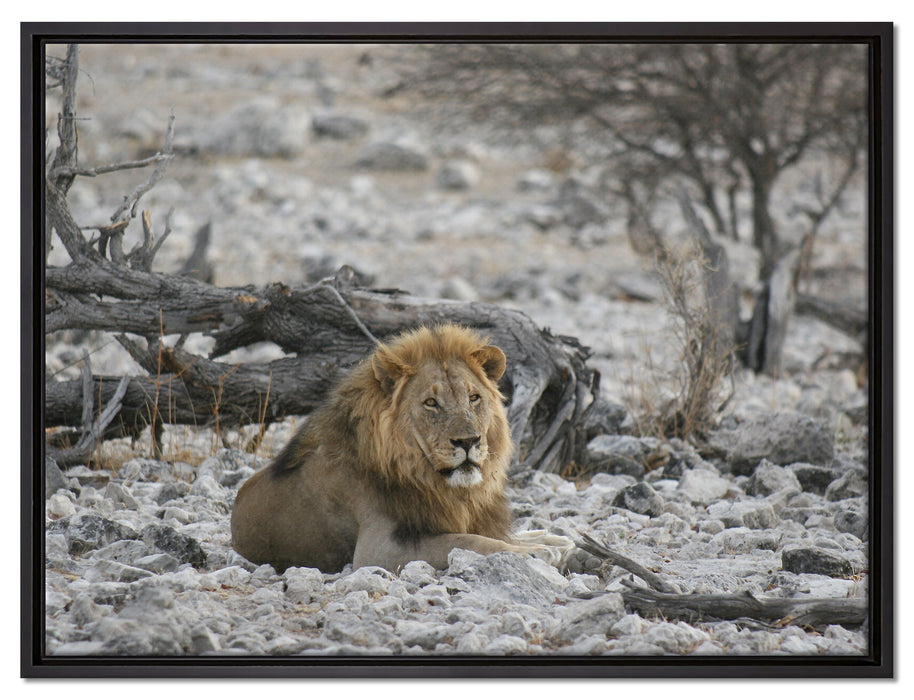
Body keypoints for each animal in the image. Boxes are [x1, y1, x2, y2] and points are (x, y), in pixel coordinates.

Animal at [231, 323, 569, 573]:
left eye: (474, 398)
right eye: (431, 403)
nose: (468, 441)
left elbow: (486, 534)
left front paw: (550, 542)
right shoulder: (377, 549)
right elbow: (470, 541)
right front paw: (538, 553)